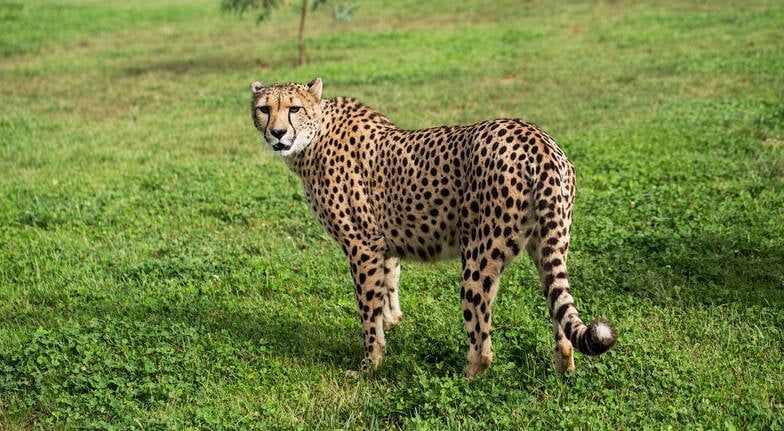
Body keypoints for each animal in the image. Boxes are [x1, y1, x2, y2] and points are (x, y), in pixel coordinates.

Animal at [248, 78, 616, 378]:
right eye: (264, 109)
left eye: (294, 108)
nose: (277, 134)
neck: (314, 135)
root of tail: (535, 138)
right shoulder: (385, 244)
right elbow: (388, 286)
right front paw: (394, 323)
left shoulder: (361, 245)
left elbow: (368, 310)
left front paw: (370, 365)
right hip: (548, 244)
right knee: (561, 319)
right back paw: (564, 372)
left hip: (478, 257)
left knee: (482, 344)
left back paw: (464, 381)